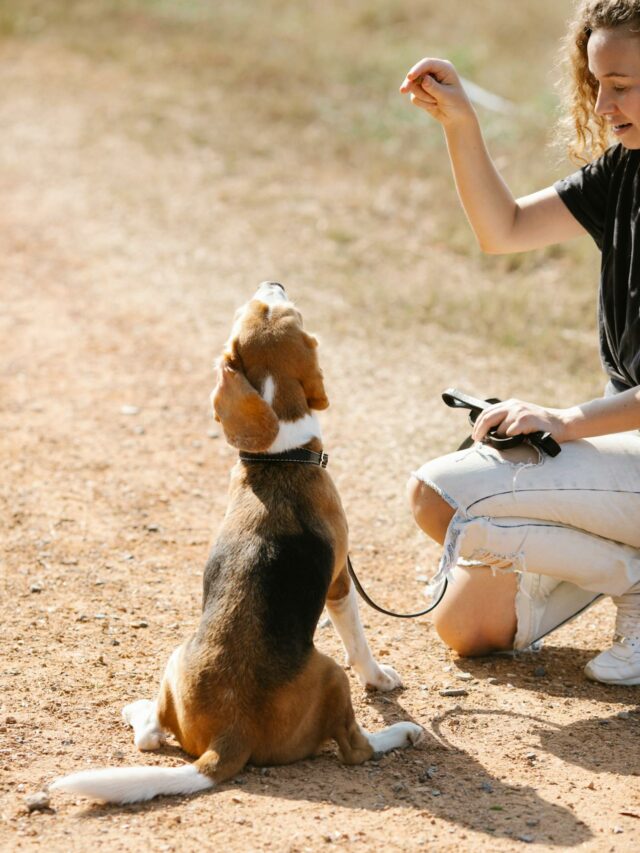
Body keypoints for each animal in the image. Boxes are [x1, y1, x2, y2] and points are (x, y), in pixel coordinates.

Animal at [50, 282, 420, 804]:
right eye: (275, 309)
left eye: (258, 309)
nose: (271, 282)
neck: (281, 455)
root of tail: (230, 735)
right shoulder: (339, 582)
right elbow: (359, 641)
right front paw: (379, 678)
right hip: (330, 675)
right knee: (354, 747)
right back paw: (401, 734)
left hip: (175, 656)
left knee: (149, 736)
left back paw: (137, 711)